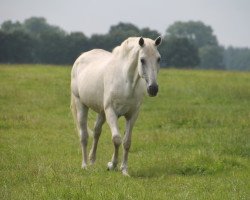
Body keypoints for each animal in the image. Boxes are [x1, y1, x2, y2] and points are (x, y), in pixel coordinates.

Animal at [70, 36, 161, 176]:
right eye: (142, 60)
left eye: (158, 58)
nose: (153, 89)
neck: (126, 82)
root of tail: (81, 57)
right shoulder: (111, 112)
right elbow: (117, 139)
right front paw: (112, 165)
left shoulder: (132, 115)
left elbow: (127, 142)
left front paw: (124, 170)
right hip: (81, 105)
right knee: (84, 135)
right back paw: (85, 165)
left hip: (101, 112)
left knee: (96, 132)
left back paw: (92, 160)